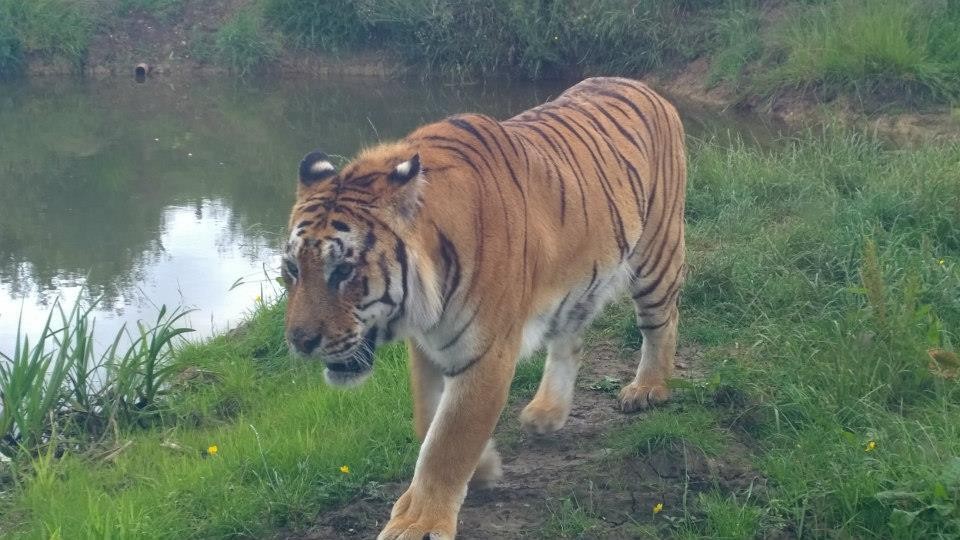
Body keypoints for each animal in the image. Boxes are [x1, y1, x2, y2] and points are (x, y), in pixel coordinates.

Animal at [282, 77, 686, 540]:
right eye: (292, 269)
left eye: (344, 270)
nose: (299, 342)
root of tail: (645, 86)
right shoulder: (427, 347)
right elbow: (428, 420)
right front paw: (483, 467)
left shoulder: (487, 353)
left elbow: (449, 440)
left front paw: (418, 523)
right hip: (579, 281)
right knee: (570, 340)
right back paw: (547, 412)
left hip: (656, 256)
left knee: (663, 321)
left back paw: (648, 388)